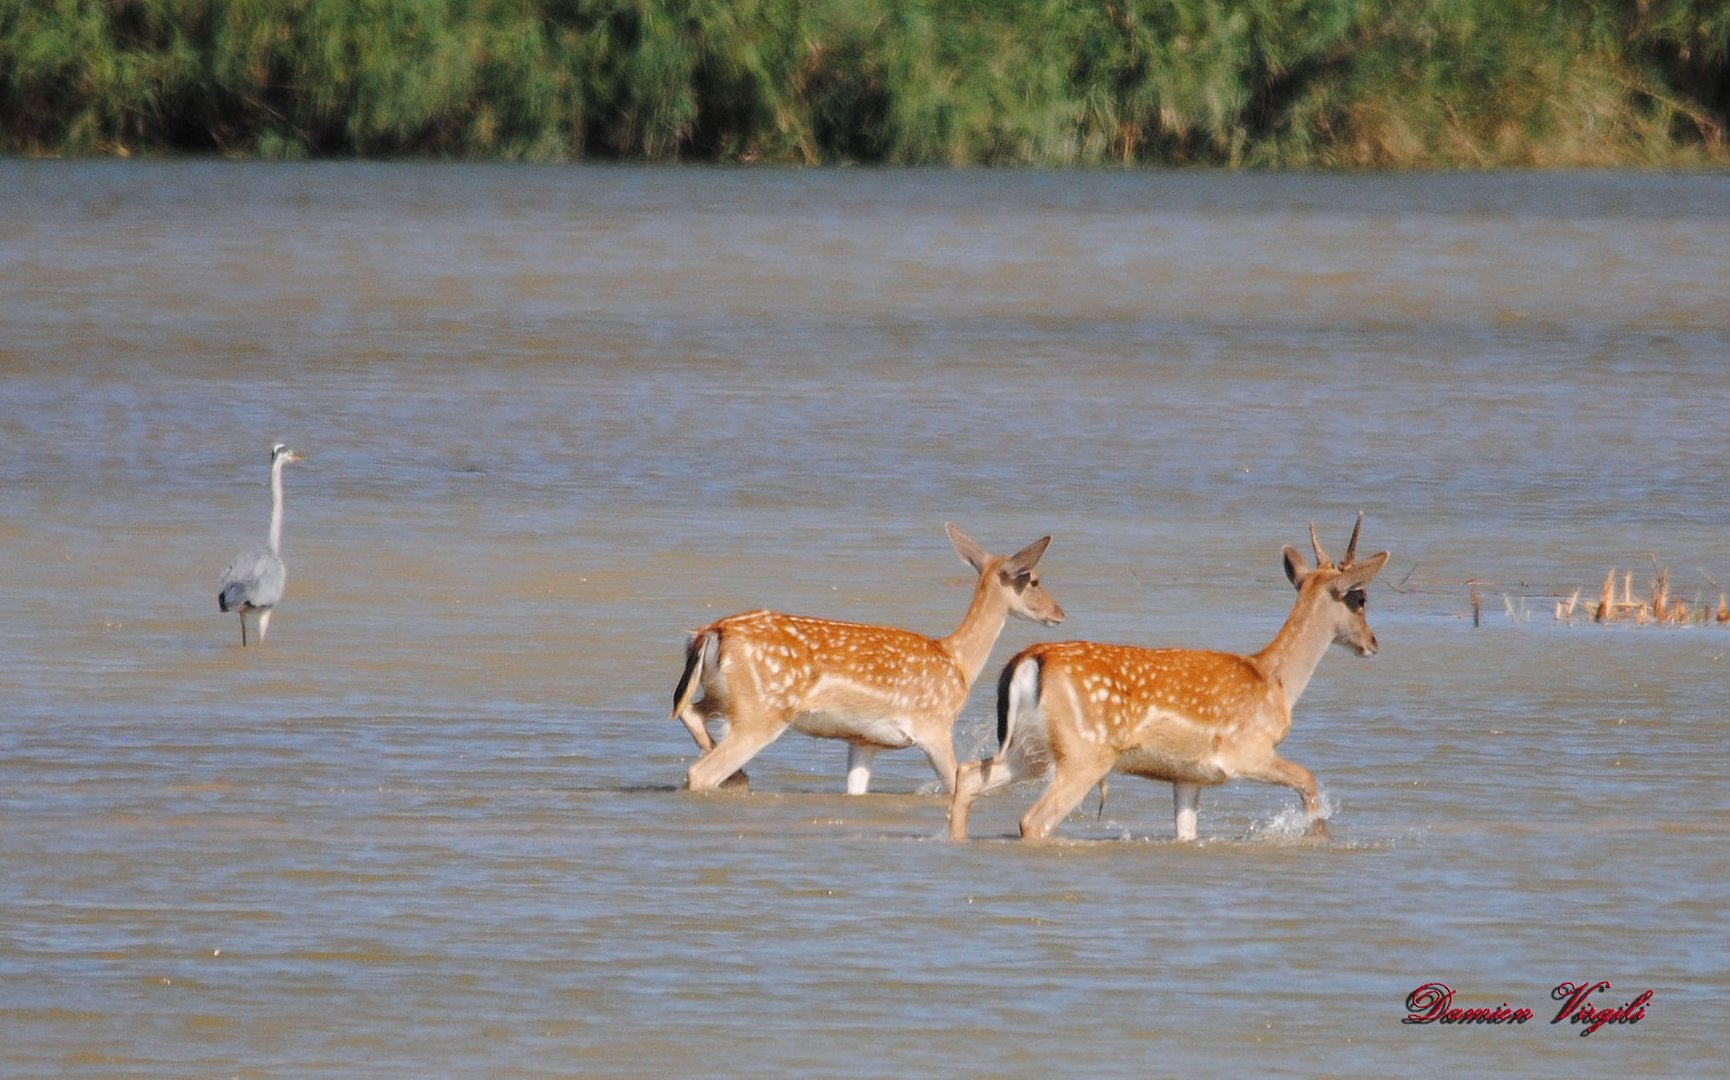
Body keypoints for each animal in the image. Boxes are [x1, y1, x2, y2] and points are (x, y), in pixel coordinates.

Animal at [674, 522, 1065, 792]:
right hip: (762, 711)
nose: (1059, 612)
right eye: (1032, 579)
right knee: (702, 770)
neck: (958, 661)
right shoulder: (934, 726)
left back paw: (736, 774)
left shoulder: (864, 740)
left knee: (690, 712)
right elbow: (955, 783)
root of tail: (711, 633)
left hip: (725, 697)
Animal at [948, 515, 1390, 844]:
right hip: (1085, 752)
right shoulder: (1245, 751)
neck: (1275, 679)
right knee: (1034, 820)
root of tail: (1028, 660)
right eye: (1361, 598)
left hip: (1031, 747)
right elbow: (1309, 781)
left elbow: (1186, 832)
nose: (1372, 642)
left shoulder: (1187, 776)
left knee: (968, 776)